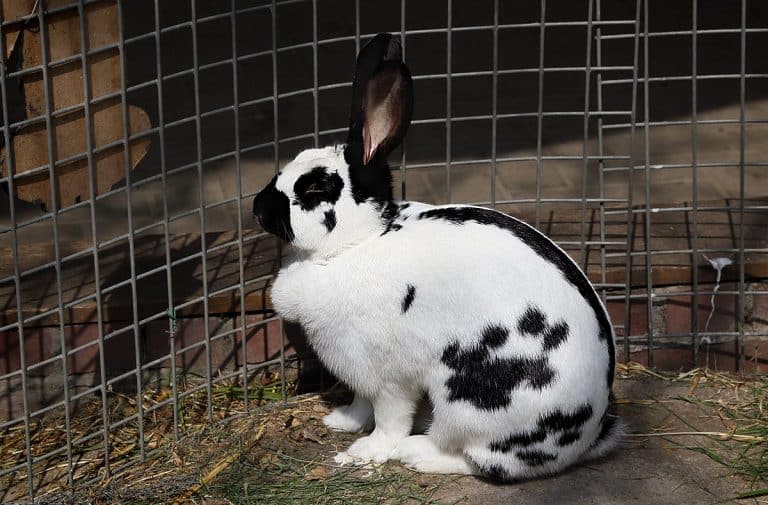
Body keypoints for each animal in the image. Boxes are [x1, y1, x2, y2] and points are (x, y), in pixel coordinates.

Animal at [252, 32, 622, 480]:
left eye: (313, 188)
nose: (256, 209)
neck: (359, 242)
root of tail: (587, 436)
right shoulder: (359, 376)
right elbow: (360, 405)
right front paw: (340, 421)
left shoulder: (388, 377)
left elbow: (389, 418)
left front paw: (363, 453)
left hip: (468, 398)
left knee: (482, 460)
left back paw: (416, 452)